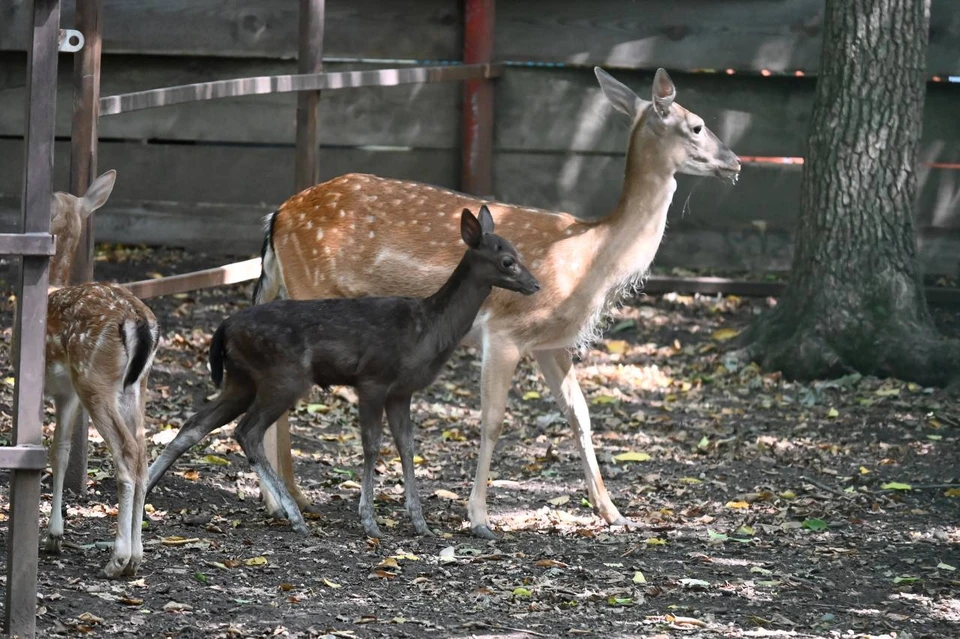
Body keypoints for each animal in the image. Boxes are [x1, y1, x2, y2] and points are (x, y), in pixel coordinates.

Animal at [42, 171, 159, 580]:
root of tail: (139, 321)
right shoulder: (67, 394)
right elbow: (60, 451)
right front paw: (54, 536)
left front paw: (53, 534)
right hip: (135, 388)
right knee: (143, 456)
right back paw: (136, 558)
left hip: (95, 381)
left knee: (126, 454)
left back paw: (118, 559)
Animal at [251, 67, 740, 540]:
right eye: (697, 125)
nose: (734, 162)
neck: (590, 259)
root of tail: (276, 218)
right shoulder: (505, 332)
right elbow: (493, 421)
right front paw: (480, 517)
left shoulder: (551, 343)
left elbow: (580, 415)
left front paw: (614, 513)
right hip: (311, 293)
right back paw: (283, 503)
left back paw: (293, 499)